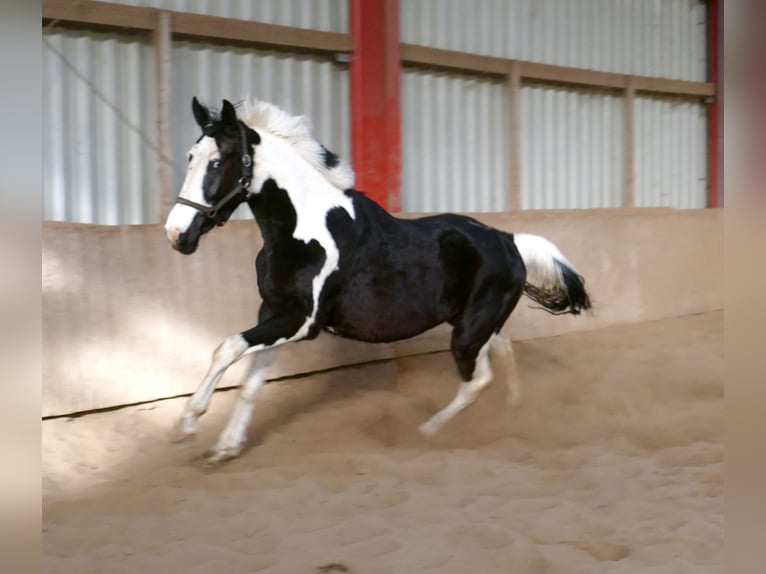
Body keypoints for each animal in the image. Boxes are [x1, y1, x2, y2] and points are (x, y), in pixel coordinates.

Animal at [164, 97, 592, 464]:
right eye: (190, 157)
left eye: (218, 161)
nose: (176, 235)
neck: (303, 230)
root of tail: (508, 240)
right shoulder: (273, 311)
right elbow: (252, 379)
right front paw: (225, 447)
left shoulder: (302, 321)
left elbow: (227, 347)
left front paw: (188, 423)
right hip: (478, 324)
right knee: (503, 353)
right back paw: (513, 413)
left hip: (470, 331)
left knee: (477, 380)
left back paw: (428, 431)